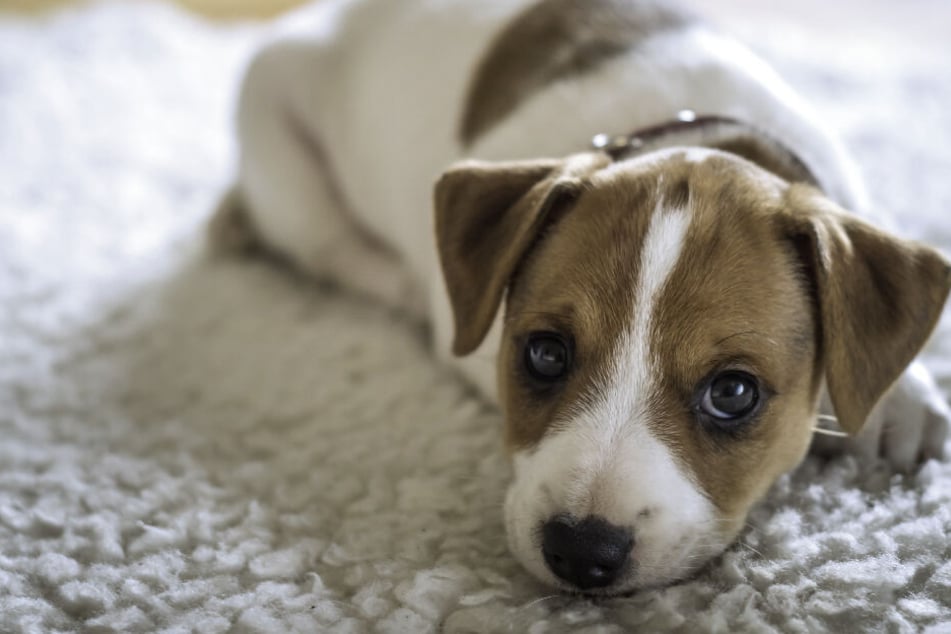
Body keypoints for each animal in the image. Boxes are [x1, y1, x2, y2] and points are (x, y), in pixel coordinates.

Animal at [214, 0, 951, 592]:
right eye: (544, 354)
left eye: (733, 393)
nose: (579, 551)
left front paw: (900, 401)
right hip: (280, 136)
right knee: (336, 249)